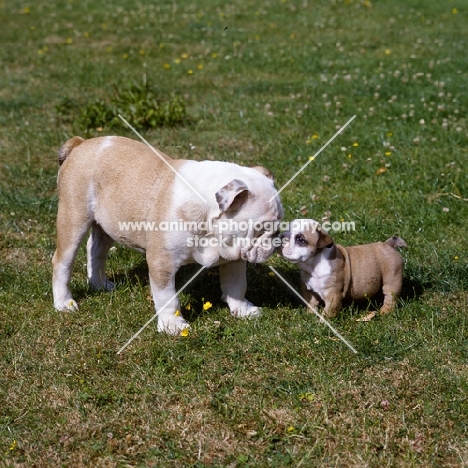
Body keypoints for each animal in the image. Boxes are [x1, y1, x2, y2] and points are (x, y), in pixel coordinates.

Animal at [53, 134, 284, 332]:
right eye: (261, 228)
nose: (277, 239)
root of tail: (81, 143)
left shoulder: (233, 258)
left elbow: (237, 285)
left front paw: (243, 310)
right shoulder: (162, 262)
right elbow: (167, 298)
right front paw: (173, 326)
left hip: (109, 223)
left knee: (96, 249)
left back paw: (99, 284)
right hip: (73, 217)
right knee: (62, 262)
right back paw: (64, 302)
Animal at [280, 219, 408, 318]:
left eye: (300, 239)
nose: (282, 236)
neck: (312, 266)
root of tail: (388, 245)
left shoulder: (332, 295)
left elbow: (329, 311)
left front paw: (323, 322)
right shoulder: (308, 290)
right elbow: (311, 302)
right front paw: (310, 313)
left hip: (392, 279)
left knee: (390, 296)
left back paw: (385, 311)